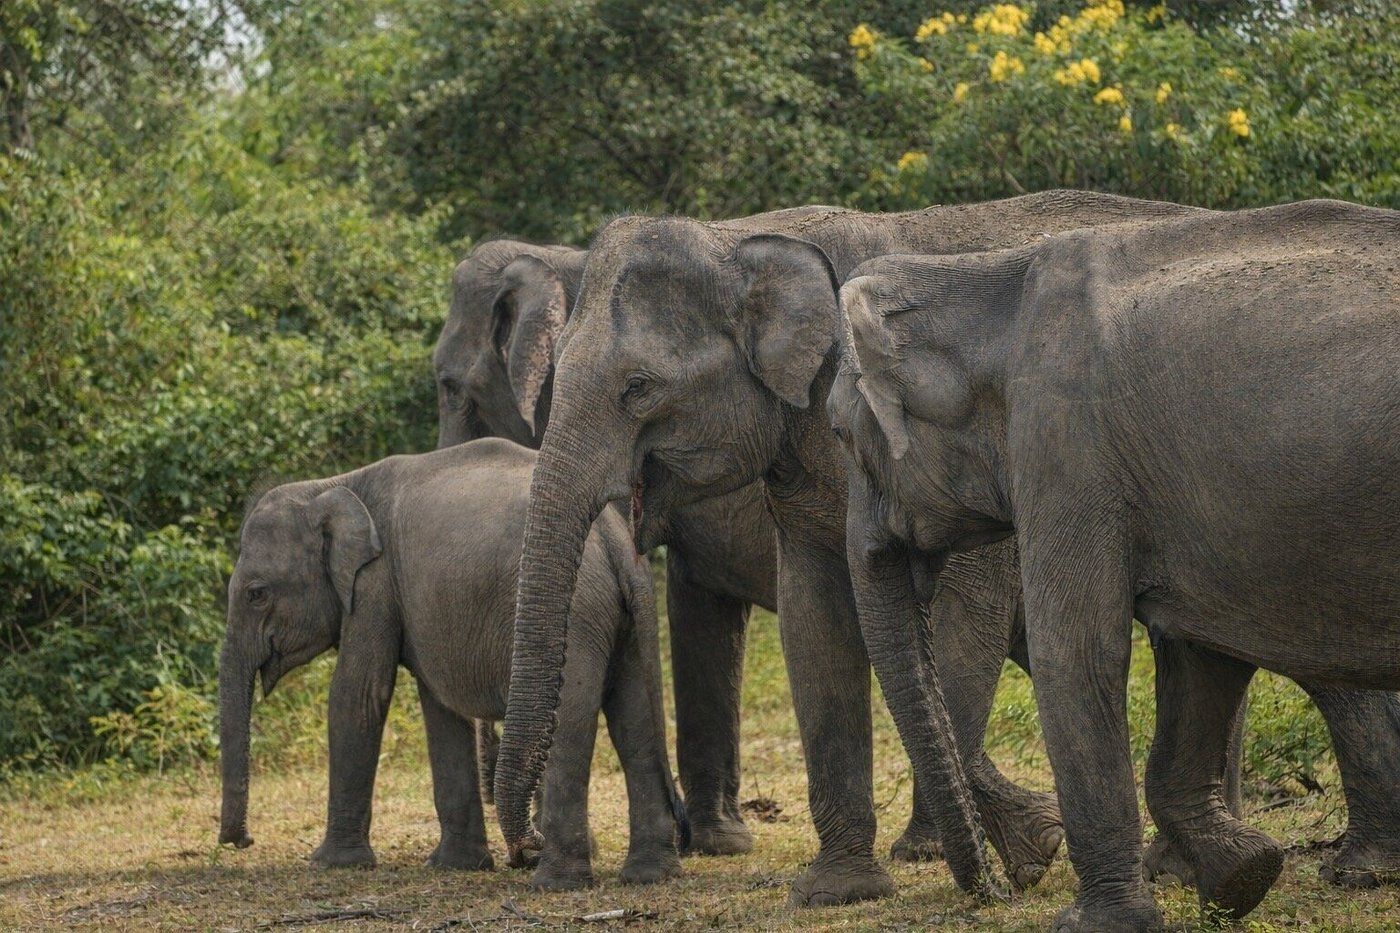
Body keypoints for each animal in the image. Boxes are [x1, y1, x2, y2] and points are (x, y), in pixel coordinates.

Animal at [217, 438, 686, 890]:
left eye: (256, 594)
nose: (242, 840)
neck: (330, 485)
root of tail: (617, 542)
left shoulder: (374, 584)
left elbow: (359, 695)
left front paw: (330, 864)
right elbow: (440, 708)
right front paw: (456, 865)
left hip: (578, 615)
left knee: (572, 722)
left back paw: (554, 881)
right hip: (626, 622)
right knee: (634, 721)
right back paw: (647, 875)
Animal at [493, 190, 1219, 906]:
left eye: (638, 386)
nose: (524, 847)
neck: (745, 238)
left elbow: (965, 612)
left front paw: (989, 854)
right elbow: (814, 619)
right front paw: (843, 889)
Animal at [833, 199, 1400, 929]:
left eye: (840, 434)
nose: (998, 889)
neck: (984, 282)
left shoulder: (1066, 442)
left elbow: (1077, 651)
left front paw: (1095, 921)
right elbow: (1201, 648)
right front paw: (1243, 875)